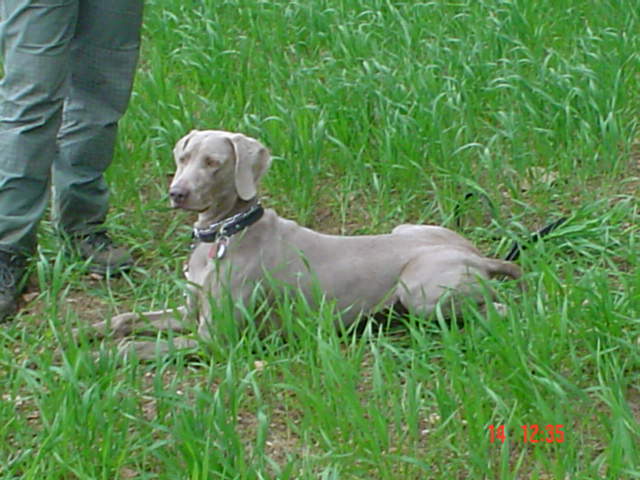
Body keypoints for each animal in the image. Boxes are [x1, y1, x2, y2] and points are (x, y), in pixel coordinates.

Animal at [87, 130, 522, 359]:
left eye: (213, 162)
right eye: (184, 155)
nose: (176, 193)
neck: (227, 231)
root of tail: (476, 255)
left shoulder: (214, 339)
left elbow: (135, 347)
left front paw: (96, 358)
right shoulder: (191, 311)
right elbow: (126, 319)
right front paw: (85, 332)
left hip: (421, 291)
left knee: (497, 307)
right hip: (408, 233)